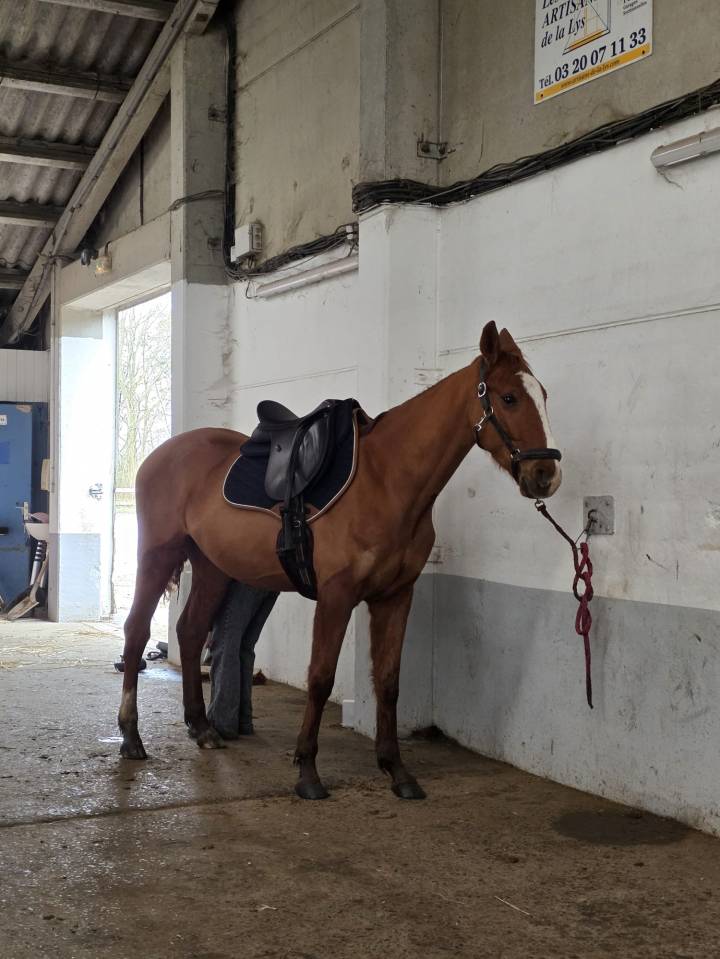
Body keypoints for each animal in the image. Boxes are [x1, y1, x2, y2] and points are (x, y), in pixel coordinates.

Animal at [118, 320, 562, 800]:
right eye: (509, 397)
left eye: (544, 395)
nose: (547, 475)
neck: (386, 479)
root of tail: (160, 455)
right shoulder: (336, 596)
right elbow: (320, 678)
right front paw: (307, 772)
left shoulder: (395, 597)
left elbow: (388, 682)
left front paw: (397, 771)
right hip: (156, 555)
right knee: (136, 632)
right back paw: (131, 737)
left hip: (211, 566)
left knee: (190, 631)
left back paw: (202, 729)